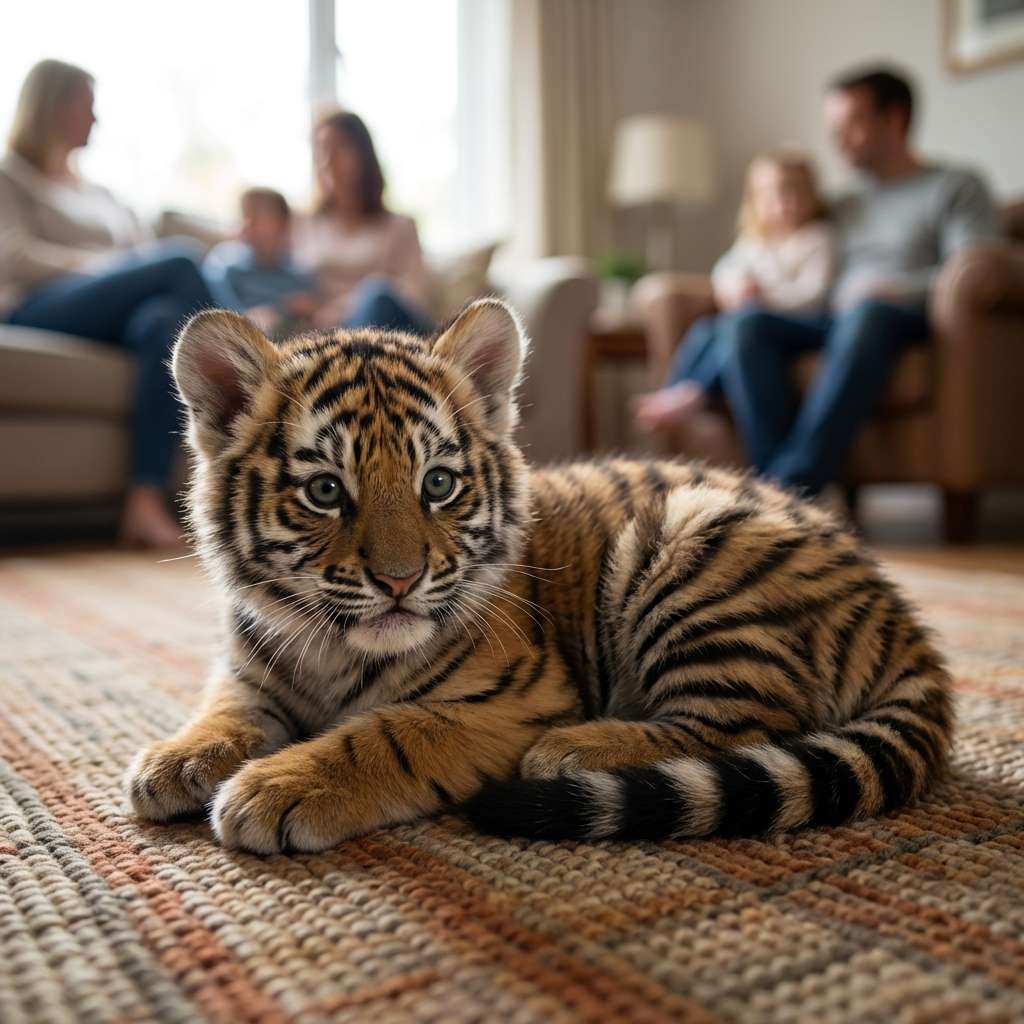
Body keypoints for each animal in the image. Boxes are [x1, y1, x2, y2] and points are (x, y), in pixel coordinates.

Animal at [126, 300, 953, 854]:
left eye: (438, 484)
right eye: (326, 491)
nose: (399, 582)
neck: (331, 648)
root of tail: (901, 616)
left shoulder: (514, 699)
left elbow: (390, 732)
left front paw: (277, 787)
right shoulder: (250, 667)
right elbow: (227, 708)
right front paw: (174, 760)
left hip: (694, 543)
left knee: (753, 724)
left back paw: (578, 751)